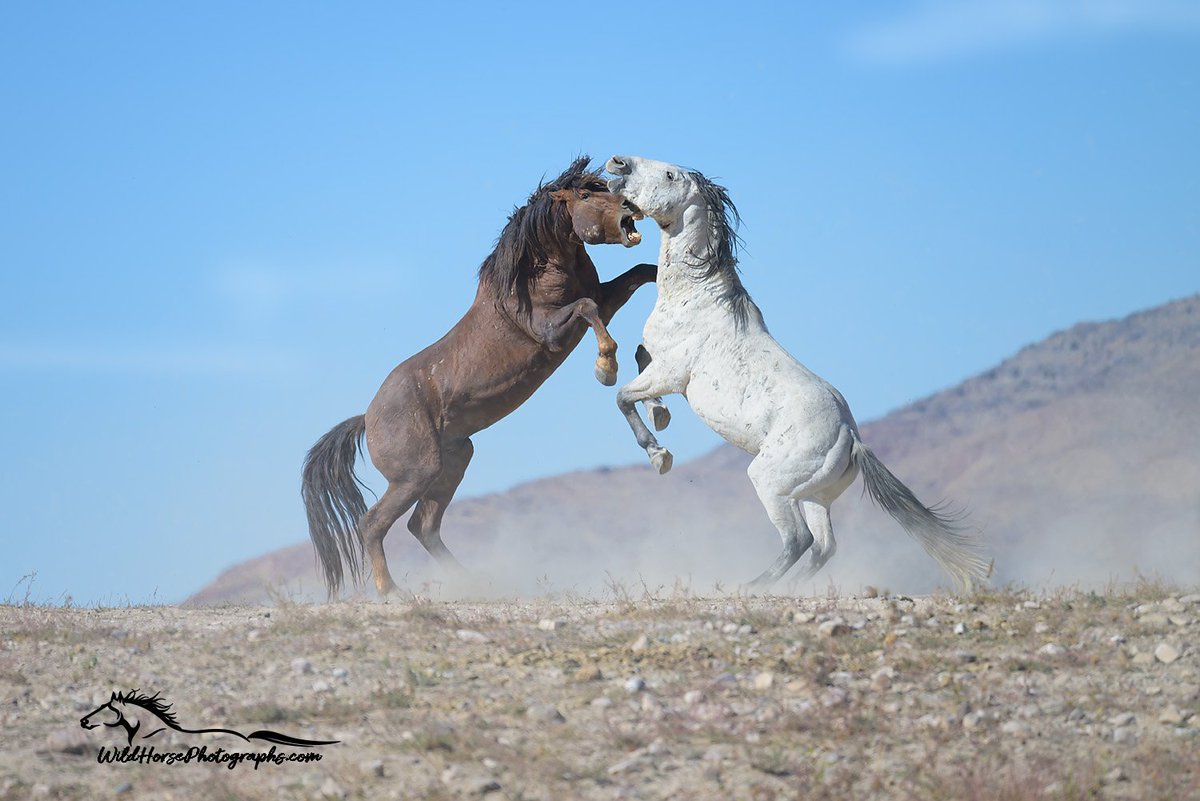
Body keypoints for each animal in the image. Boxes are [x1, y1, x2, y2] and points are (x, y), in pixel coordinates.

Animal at [300, 158, 657, 594]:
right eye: (587, 194)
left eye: (604, 184)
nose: (631, 206)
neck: (533, 275)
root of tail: (366, 419)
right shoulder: (551, 332)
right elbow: (586, 307)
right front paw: (606, 368)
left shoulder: (606, 300)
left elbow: (641, 272)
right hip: (415, 473)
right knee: (373, 523)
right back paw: (392, 592)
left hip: (454, 459)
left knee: (423, 526)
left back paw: (474, 583)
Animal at [604, 155, 988, 592]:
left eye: (670, 174)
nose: (618, 164)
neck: (699, 296)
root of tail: (850, 439)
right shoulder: (659, 363)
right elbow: (638, 360)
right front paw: (660, 415)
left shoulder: (673, 373)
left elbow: (622, 395)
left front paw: (659, 454)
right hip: (812, 496)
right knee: (823, 547)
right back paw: (787, 588)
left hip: (771, 483)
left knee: (798, 539)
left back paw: (753, 587)